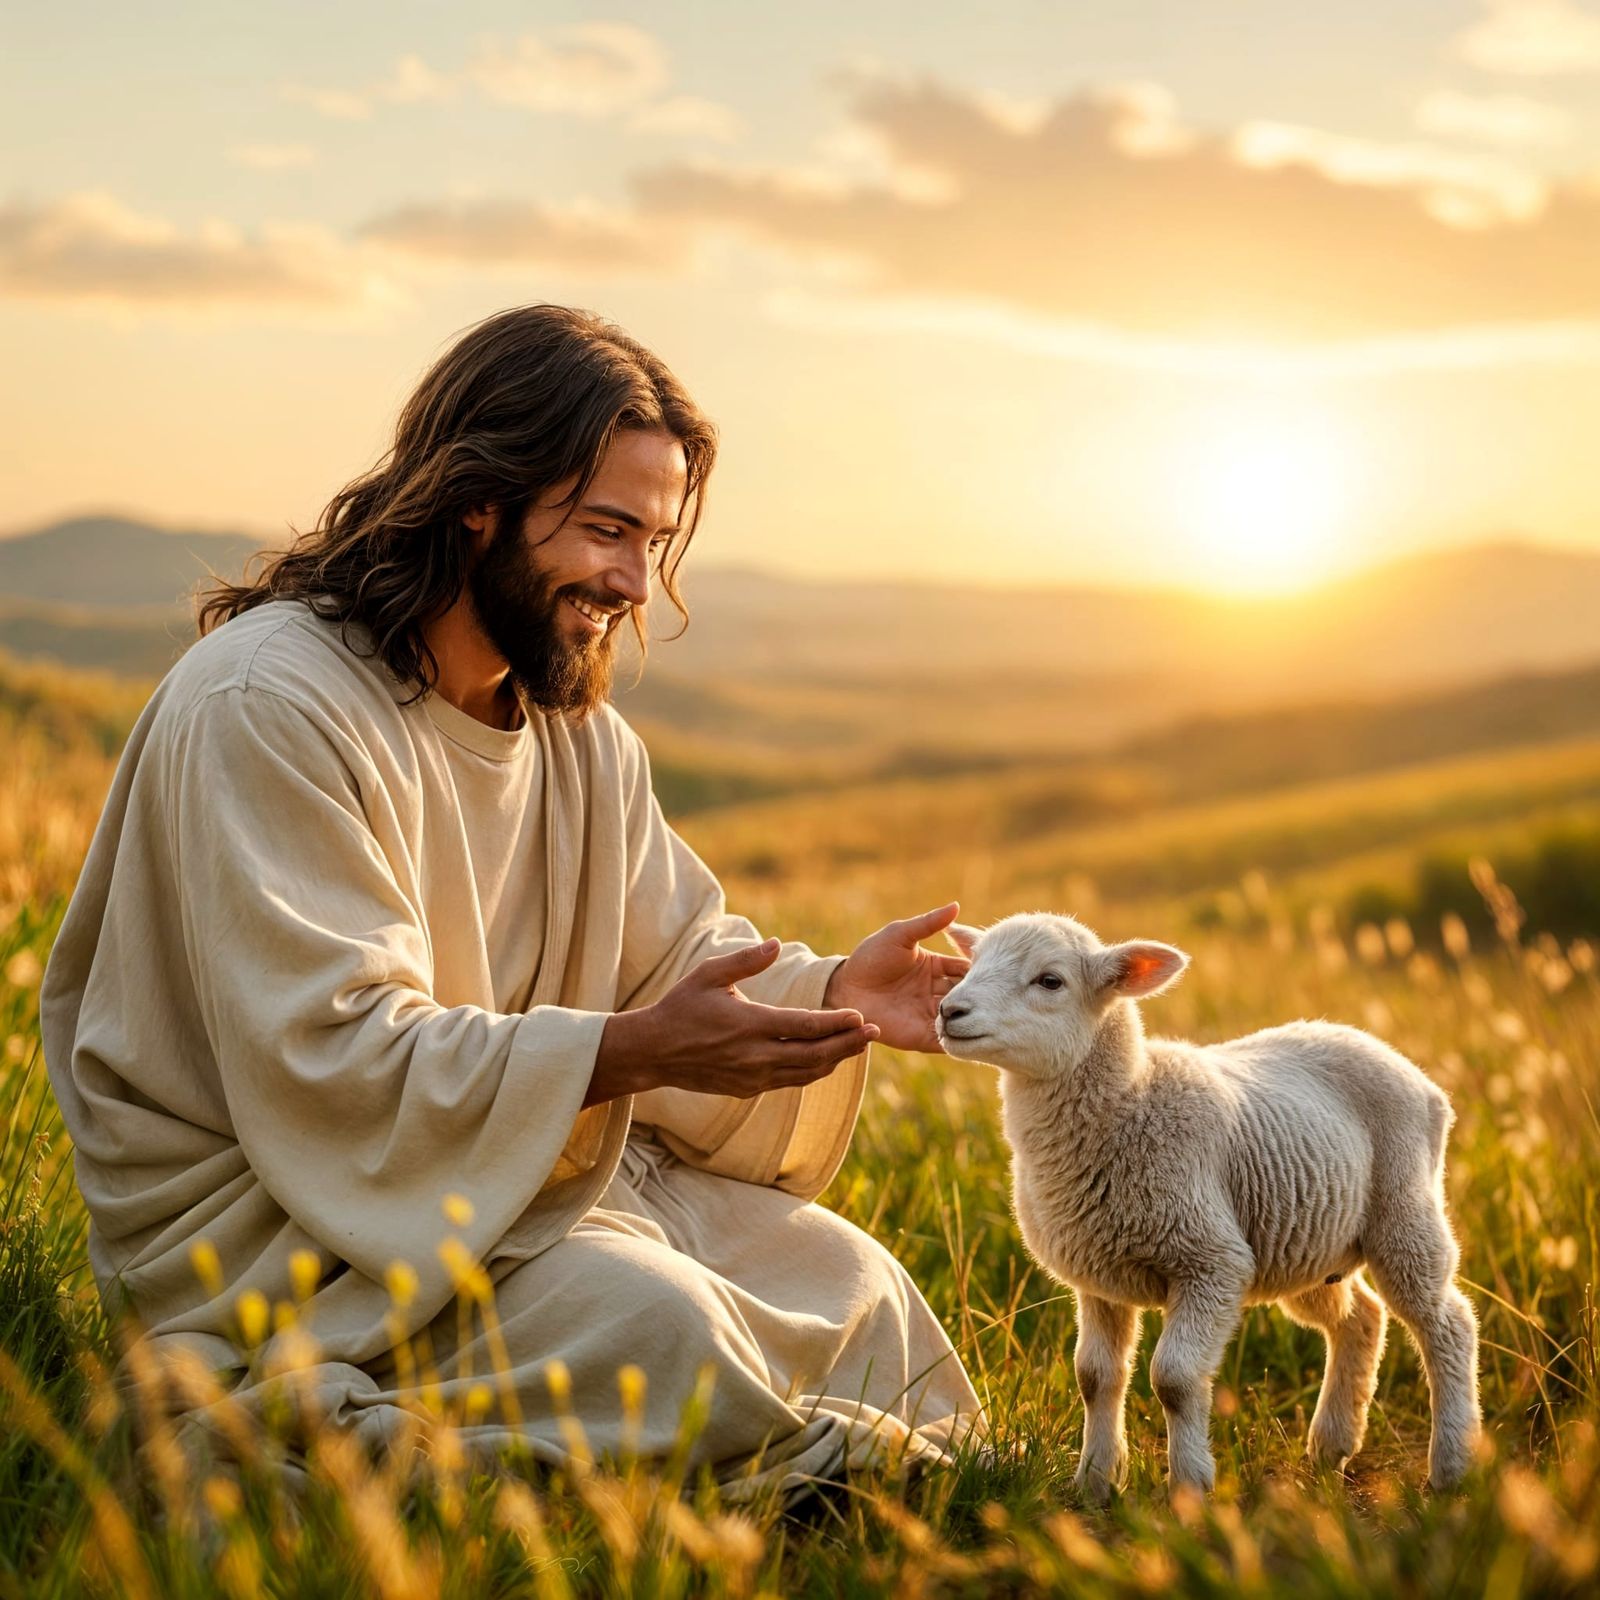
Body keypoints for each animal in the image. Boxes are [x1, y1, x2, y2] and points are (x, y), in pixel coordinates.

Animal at [936, 911, 1481, 1501]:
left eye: (1050, 981)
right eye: (972, 963)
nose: (948, 1010)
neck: (1133, 1100)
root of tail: (1402, 1064)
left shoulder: (1212, 1263)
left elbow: (1173, 1379)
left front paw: (1190, 1489)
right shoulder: (1099, 1275)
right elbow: (1095, 1378)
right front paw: (1096, 1483)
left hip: (1403, 1210)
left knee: (1446, 1323)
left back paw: (1451, 1467)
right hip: (1308, 1246)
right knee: (1361, 1318)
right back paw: (1331, 1448)